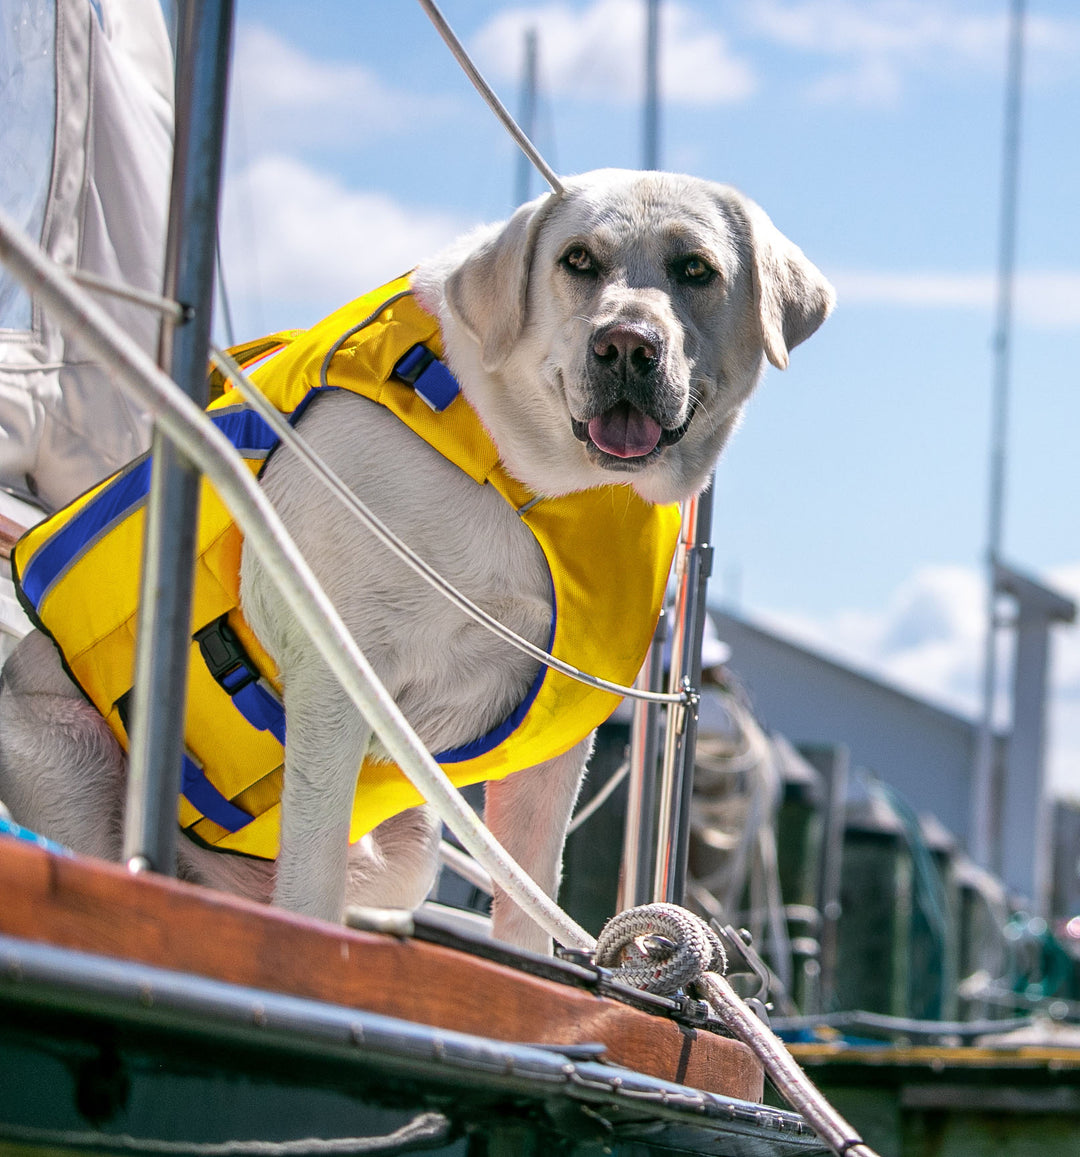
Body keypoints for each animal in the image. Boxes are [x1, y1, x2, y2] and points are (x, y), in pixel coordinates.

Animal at [0, 168, 833, 948]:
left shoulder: (559, 735)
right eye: (578, 259)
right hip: (72, 764)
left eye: (696, 268)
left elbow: (530, 895)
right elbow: (310, 879)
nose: (626, 343)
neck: (529, 480)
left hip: (408, 851)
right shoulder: (336, 670)